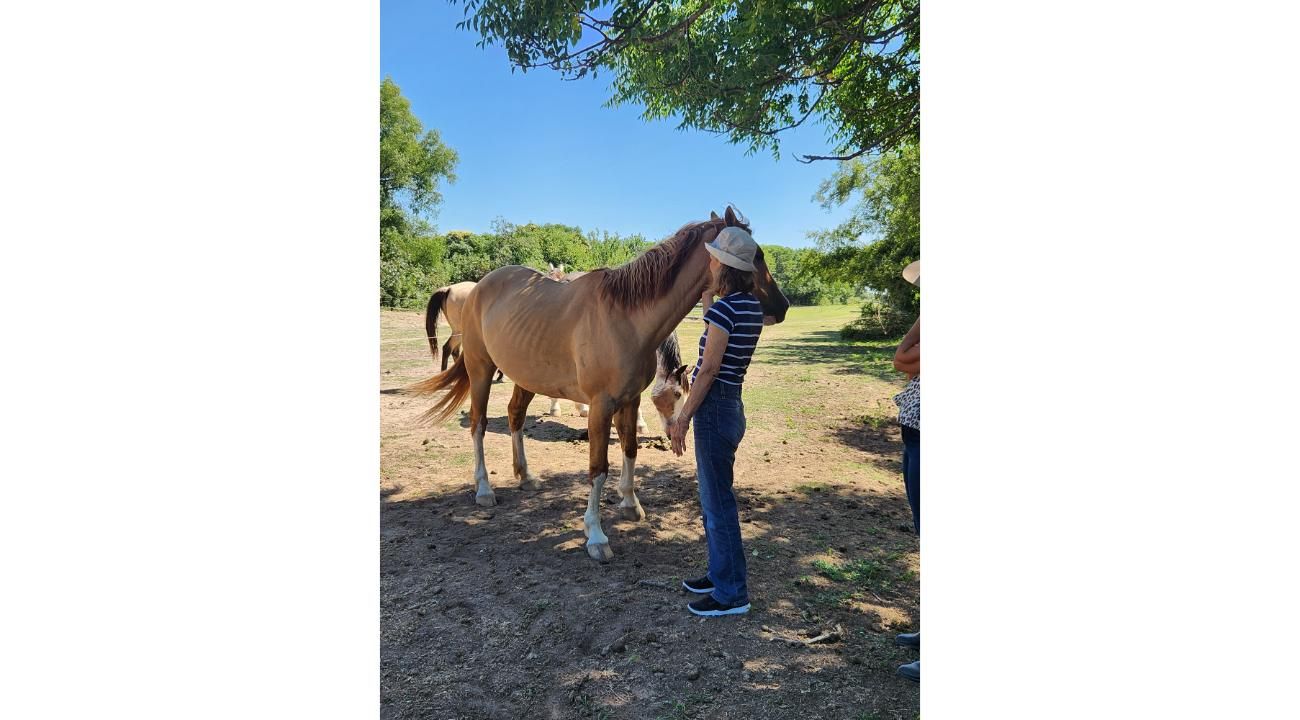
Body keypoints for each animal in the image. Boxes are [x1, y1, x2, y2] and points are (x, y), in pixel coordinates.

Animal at [411, 207, 789, 562]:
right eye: (757, 255)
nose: (783, 306)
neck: (627, 317)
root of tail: (478, 287)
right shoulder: (601, 406)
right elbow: (598, 468)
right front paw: (595, 535)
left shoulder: (631, 400)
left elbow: (630, 449)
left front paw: (631, 504)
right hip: (481, 370)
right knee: (479, 424)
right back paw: (484, 490)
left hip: (526, 376)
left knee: (515, 416)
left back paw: (526, 476)